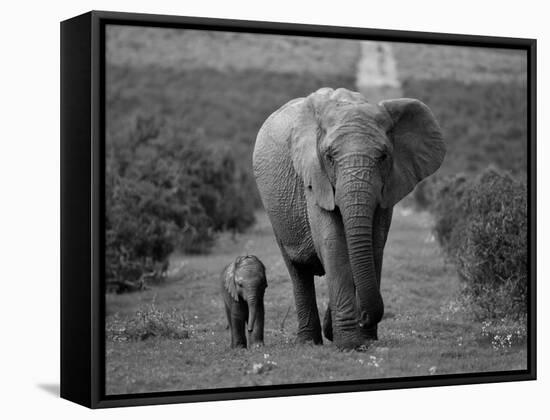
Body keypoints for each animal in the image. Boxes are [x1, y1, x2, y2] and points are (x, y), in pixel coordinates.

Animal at [254, 87, 448, 350]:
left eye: (384, 156)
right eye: (329, 157)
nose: (363, 317)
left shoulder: (387, 187)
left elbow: (375, 244)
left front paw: (364, 339)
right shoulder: (315, 179)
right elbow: (334, 244)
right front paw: (348, 344)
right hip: (275, 211)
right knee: (297, 270)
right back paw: (308, 342)